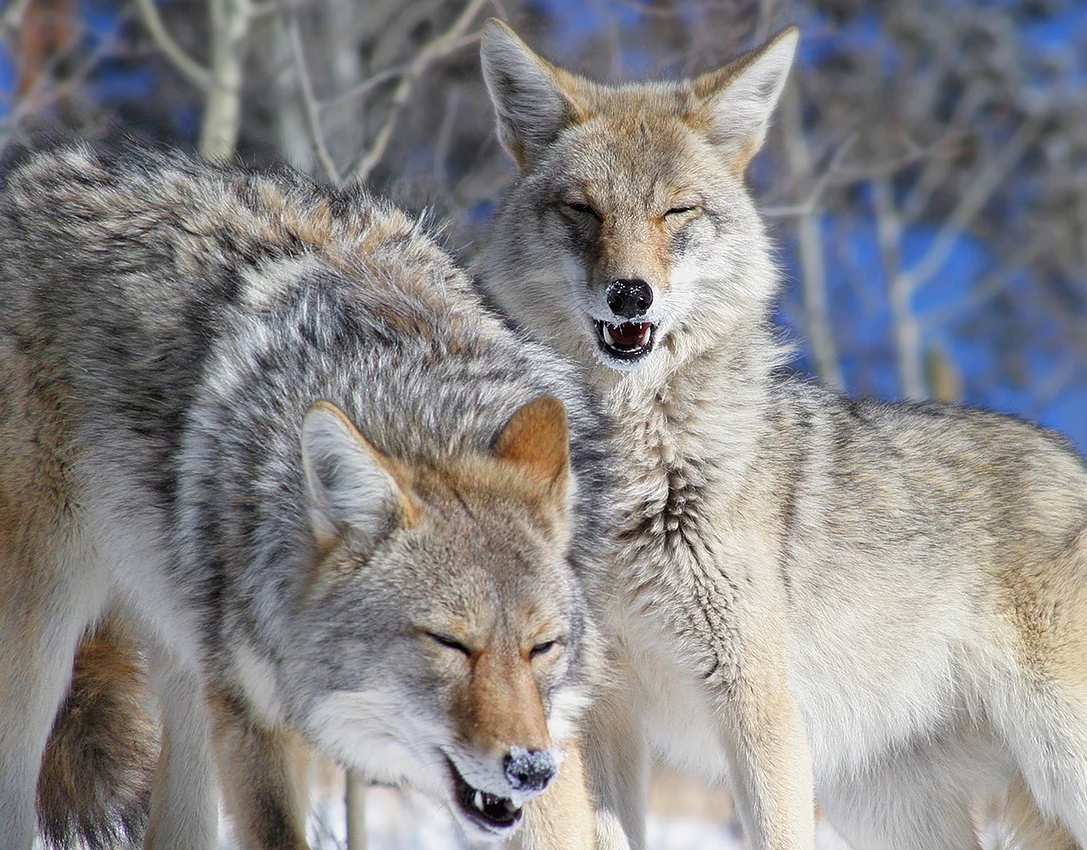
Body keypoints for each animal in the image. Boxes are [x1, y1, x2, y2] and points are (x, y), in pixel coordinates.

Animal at [0, 142, 611, 850]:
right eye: (449, 643)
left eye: (543, 648)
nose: (529, 768)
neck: (419, 409)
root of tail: (28, 178)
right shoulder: (255, 724)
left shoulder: (555, 737)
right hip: (43, 652)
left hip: (190, 675)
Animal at [478, 19, 1087, 850]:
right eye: (583, 210)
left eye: (676, 212)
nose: (629, 293)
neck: (634, 470)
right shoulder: (596, 714)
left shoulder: (756, 706)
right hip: (892, 810)